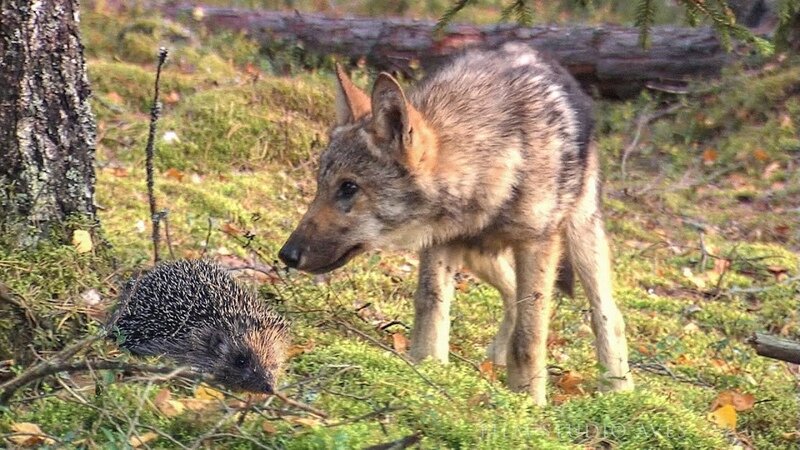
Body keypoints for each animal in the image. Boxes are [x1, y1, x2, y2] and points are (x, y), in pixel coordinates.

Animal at [278, 44, 636, 404]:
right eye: (320, 185)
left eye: (349, 187)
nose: (286, 254)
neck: (496, 158)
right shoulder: (440, 242)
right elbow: (430, 309)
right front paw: (428, 372)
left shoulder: (536, 244)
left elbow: (528, 337)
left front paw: (528, 402)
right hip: (478, 254)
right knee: (510, 292)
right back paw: (495, 359)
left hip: (579, 236)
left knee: (608, 315)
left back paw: (617, 388)